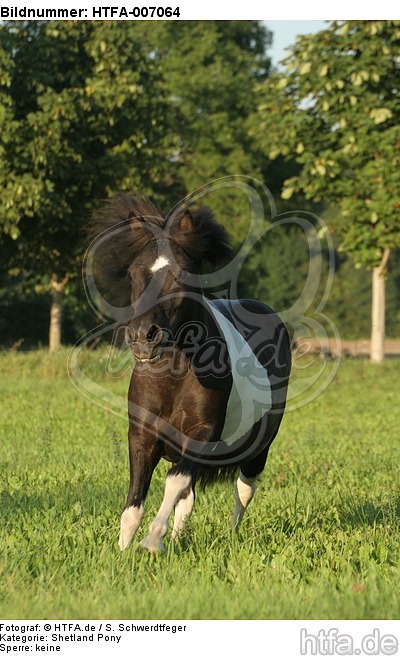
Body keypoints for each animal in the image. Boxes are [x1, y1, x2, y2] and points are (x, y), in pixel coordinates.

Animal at [88, 193, 291, 553]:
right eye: (133, 273)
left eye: (180, 275)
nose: (142, 337)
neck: (173, 377)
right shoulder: (141, 435)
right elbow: (135, 499)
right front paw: (123, 550)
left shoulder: (201, 435)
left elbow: (175, 483)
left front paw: (152, 541)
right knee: (190, 499)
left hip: (259, 449)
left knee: (243, 490)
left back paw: (230, 536)